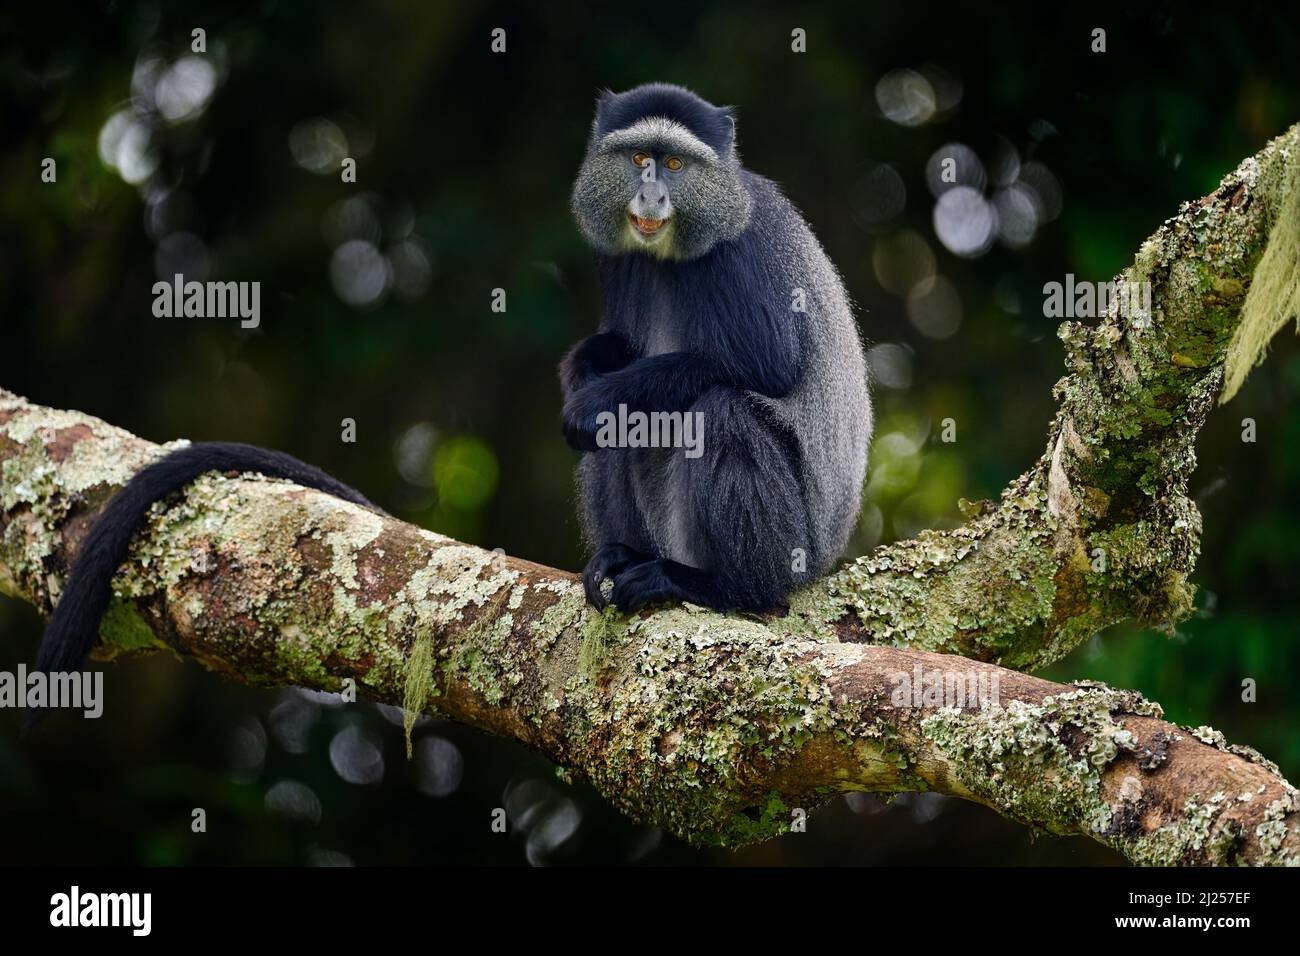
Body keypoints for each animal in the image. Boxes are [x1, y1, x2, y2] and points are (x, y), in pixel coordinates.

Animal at [561, 83, 872, 615]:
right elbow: (619, 345)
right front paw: (582, 369)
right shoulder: (617, 258)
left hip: (795, 551)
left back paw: (719, 586)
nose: (651, 194)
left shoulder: (741, 249)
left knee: (725, 411)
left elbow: (766, 363)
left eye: (675, 165)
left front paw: (592, 400)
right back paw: (626, 555)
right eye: (640, 158)